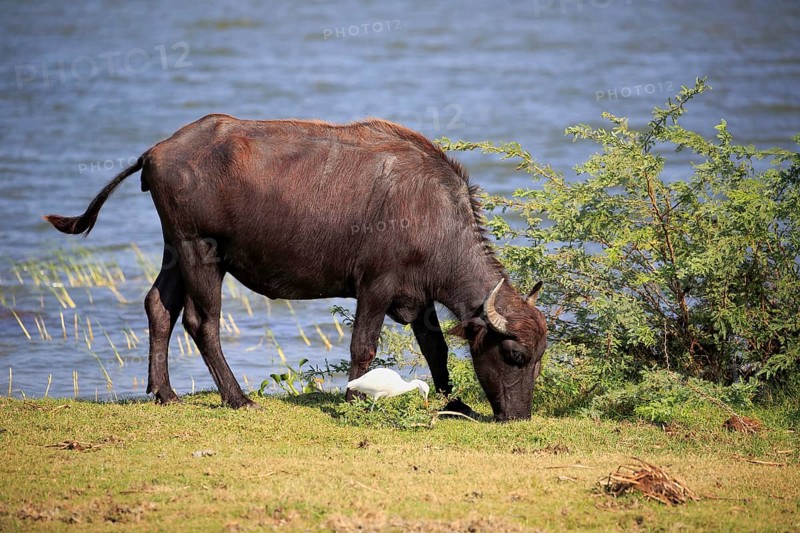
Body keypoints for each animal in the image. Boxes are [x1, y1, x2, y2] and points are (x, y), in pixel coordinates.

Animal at [46, 115, 547, 420]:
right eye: (514, 356)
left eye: (540, 357)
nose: (517, 416)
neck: (430, 214)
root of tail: (156, 151)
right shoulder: (375, 286)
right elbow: (363, 346)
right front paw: (354, 397)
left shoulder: (419, 299)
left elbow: (437, 350)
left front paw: (454, 401)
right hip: (201, 251)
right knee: (200, 322)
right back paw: (237, 398)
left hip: (175, 250)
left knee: (158, 306)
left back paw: (164, 392)